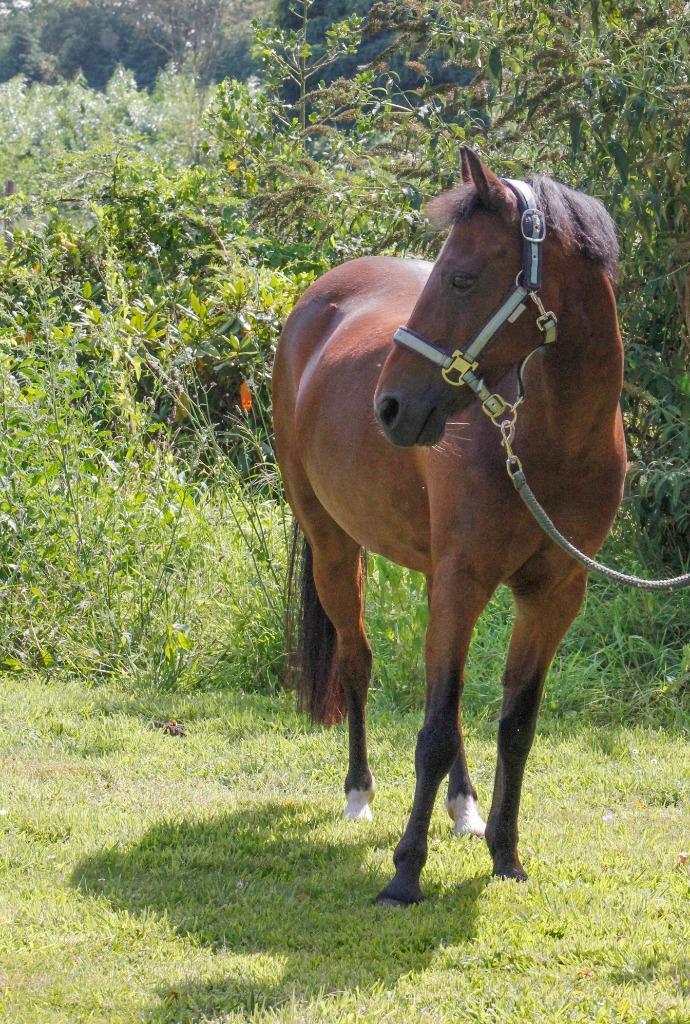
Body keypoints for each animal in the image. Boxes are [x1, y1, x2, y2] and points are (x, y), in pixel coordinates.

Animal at [272, 147, 626, 906]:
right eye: (443, 272)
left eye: (462, 276)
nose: (390, 407)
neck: (548, 444)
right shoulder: (464, 582)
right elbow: (431, 731)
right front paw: (405, 872)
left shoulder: (553, 595)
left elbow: (514, 725)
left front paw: (506, 855)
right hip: (333, 549)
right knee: (357, 663)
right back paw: (358, 794)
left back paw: (463, 810)